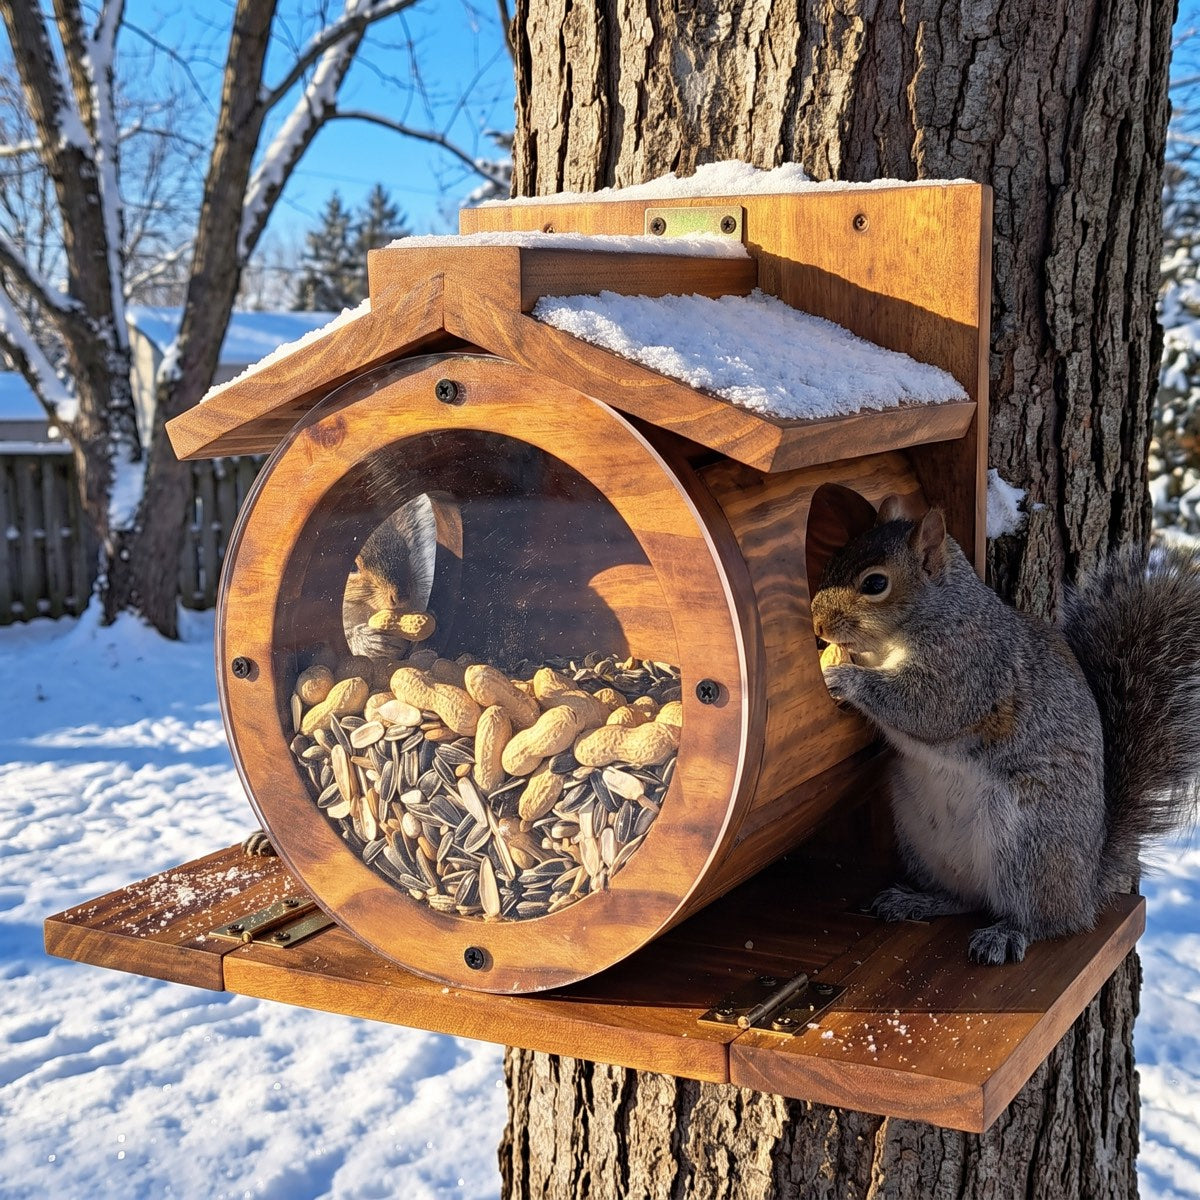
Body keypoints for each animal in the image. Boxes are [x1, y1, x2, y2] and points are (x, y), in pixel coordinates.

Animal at [809, 496, 1200, 964]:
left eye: (875, 583)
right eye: (835, 559)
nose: (816, 625)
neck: (938, 613)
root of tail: (1086, 887)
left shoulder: (969, 669)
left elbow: (924, 707)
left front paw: (842, 676)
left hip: (1028, 841)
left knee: (1046, 920)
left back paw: (1007, 934)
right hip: (920, 834)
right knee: (965, 898)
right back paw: (916, 900)